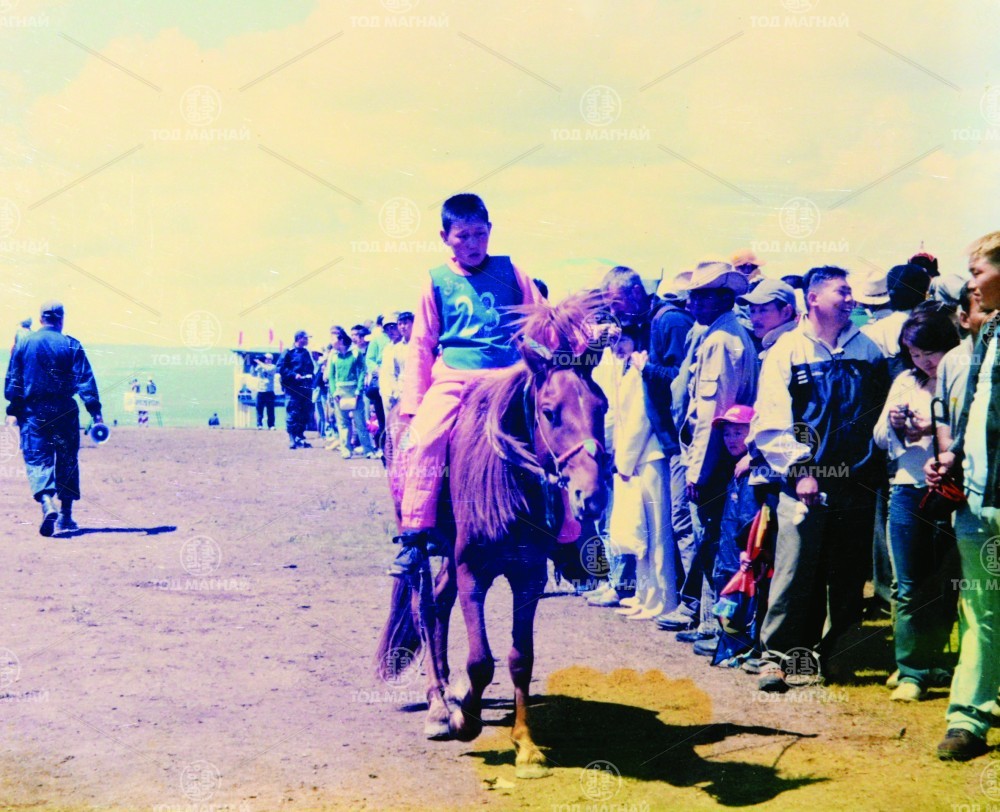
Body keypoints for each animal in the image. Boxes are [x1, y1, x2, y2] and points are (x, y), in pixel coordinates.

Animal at [375, 291, 610, 778]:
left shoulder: (528, 577)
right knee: (425, 606)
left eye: (602, 408)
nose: (592, 496)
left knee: (439, 602)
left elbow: (521, 659)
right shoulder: (474, 571)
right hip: (424, 544)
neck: (508, 480)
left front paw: (525, 745)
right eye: (549, 412)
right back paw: (438, 705)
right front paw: (464, 718)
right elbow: (481, 660)